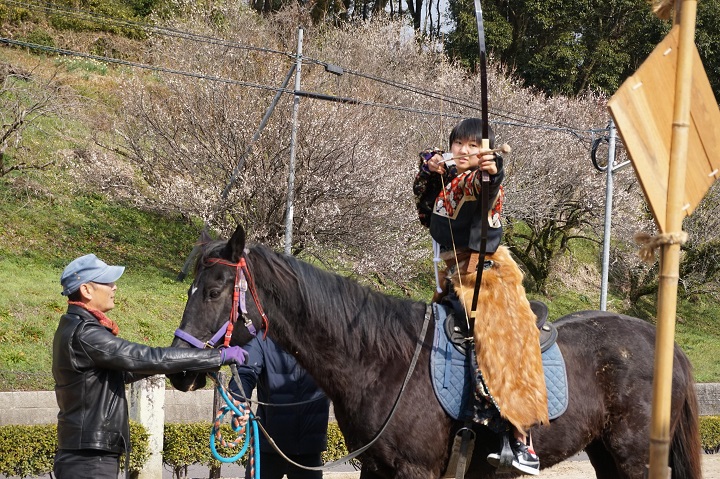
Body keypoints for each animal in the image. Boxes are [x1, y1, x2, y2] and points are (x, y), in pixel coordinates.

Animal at [166, 226, 700, 479]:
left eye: (212, 291)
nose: (180, 370)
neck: (385, 362)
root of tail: (665, 344)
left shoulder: (415, 470)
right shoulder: (377, 470)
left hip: (634, 455)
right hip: (607, 452)